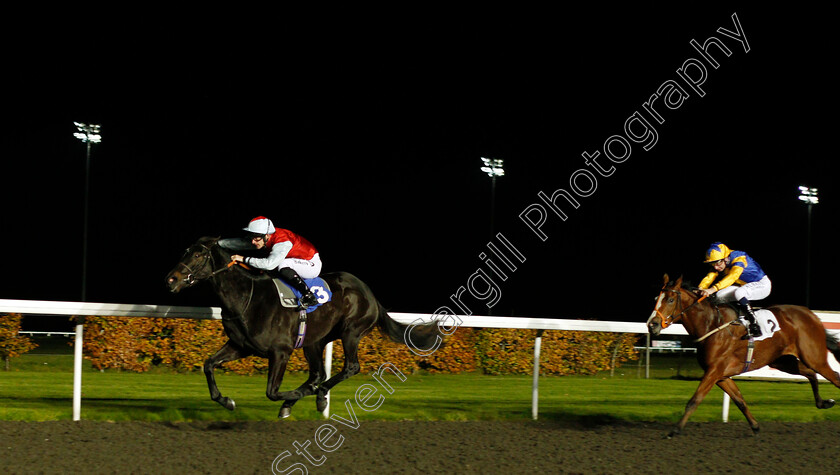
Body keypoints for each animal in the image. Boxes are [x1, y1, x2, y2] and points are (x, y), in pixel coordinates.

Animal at [164, 236, 440, 418]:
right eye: (185, 251)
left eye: (198, 255)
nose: (171, 279)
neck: (247, 298)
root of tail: (369, 293)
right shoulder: (241, 346)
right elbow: (209, 364)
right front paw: (227, 401)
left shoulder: (280, 352)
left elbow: (273, 392)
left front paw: (294, 399)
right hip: (314, 341)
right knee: (317, 374)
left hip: (351, 331)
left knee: (349, 367)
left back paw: (317, 397)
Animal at [648, 274, 836, 436]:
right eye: (657, 299)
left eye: (670, 300)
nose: (652, 325)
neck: (711, 324)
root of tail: (812, 315)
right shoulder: (721, 375)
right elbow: (739, 400)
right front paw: (755, 426)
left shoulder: (714, 371)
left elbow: (695, 400)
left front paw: (675, 430)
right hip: (782, 361)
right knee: (811, 373)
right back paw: (823, 403)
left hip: (813, 357)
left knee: (833, 375)